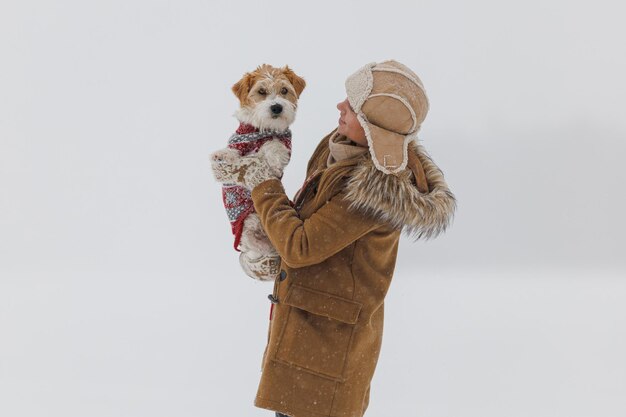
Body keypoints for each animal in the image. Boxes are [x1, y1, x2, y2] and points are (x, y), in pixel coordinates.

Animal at [210, 63, 304, 282]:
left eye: (284, 90)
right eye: (261, 92)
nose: (277, 107)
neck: (263, 130)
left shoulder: (284, 142)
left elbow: (275, 146)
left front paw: (272, 156)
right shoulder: (238, 142)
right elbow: (232, 152)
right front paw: (221, 155)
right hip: (247, 233)